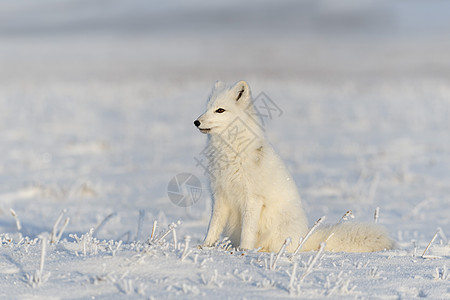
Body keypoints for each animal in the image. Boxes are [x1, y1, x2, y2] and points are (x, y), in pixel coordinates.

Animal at [193, 80, 394, 253]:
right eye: (207, 108)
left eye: (220, 110)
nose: (196, 122)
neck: (230, 151)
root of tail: (302, 238)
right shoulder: (220, 196)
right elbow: (213, 226)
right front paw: (205, 246)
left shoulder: (252, 198)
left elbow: (248, 230)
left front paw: (244, 250)